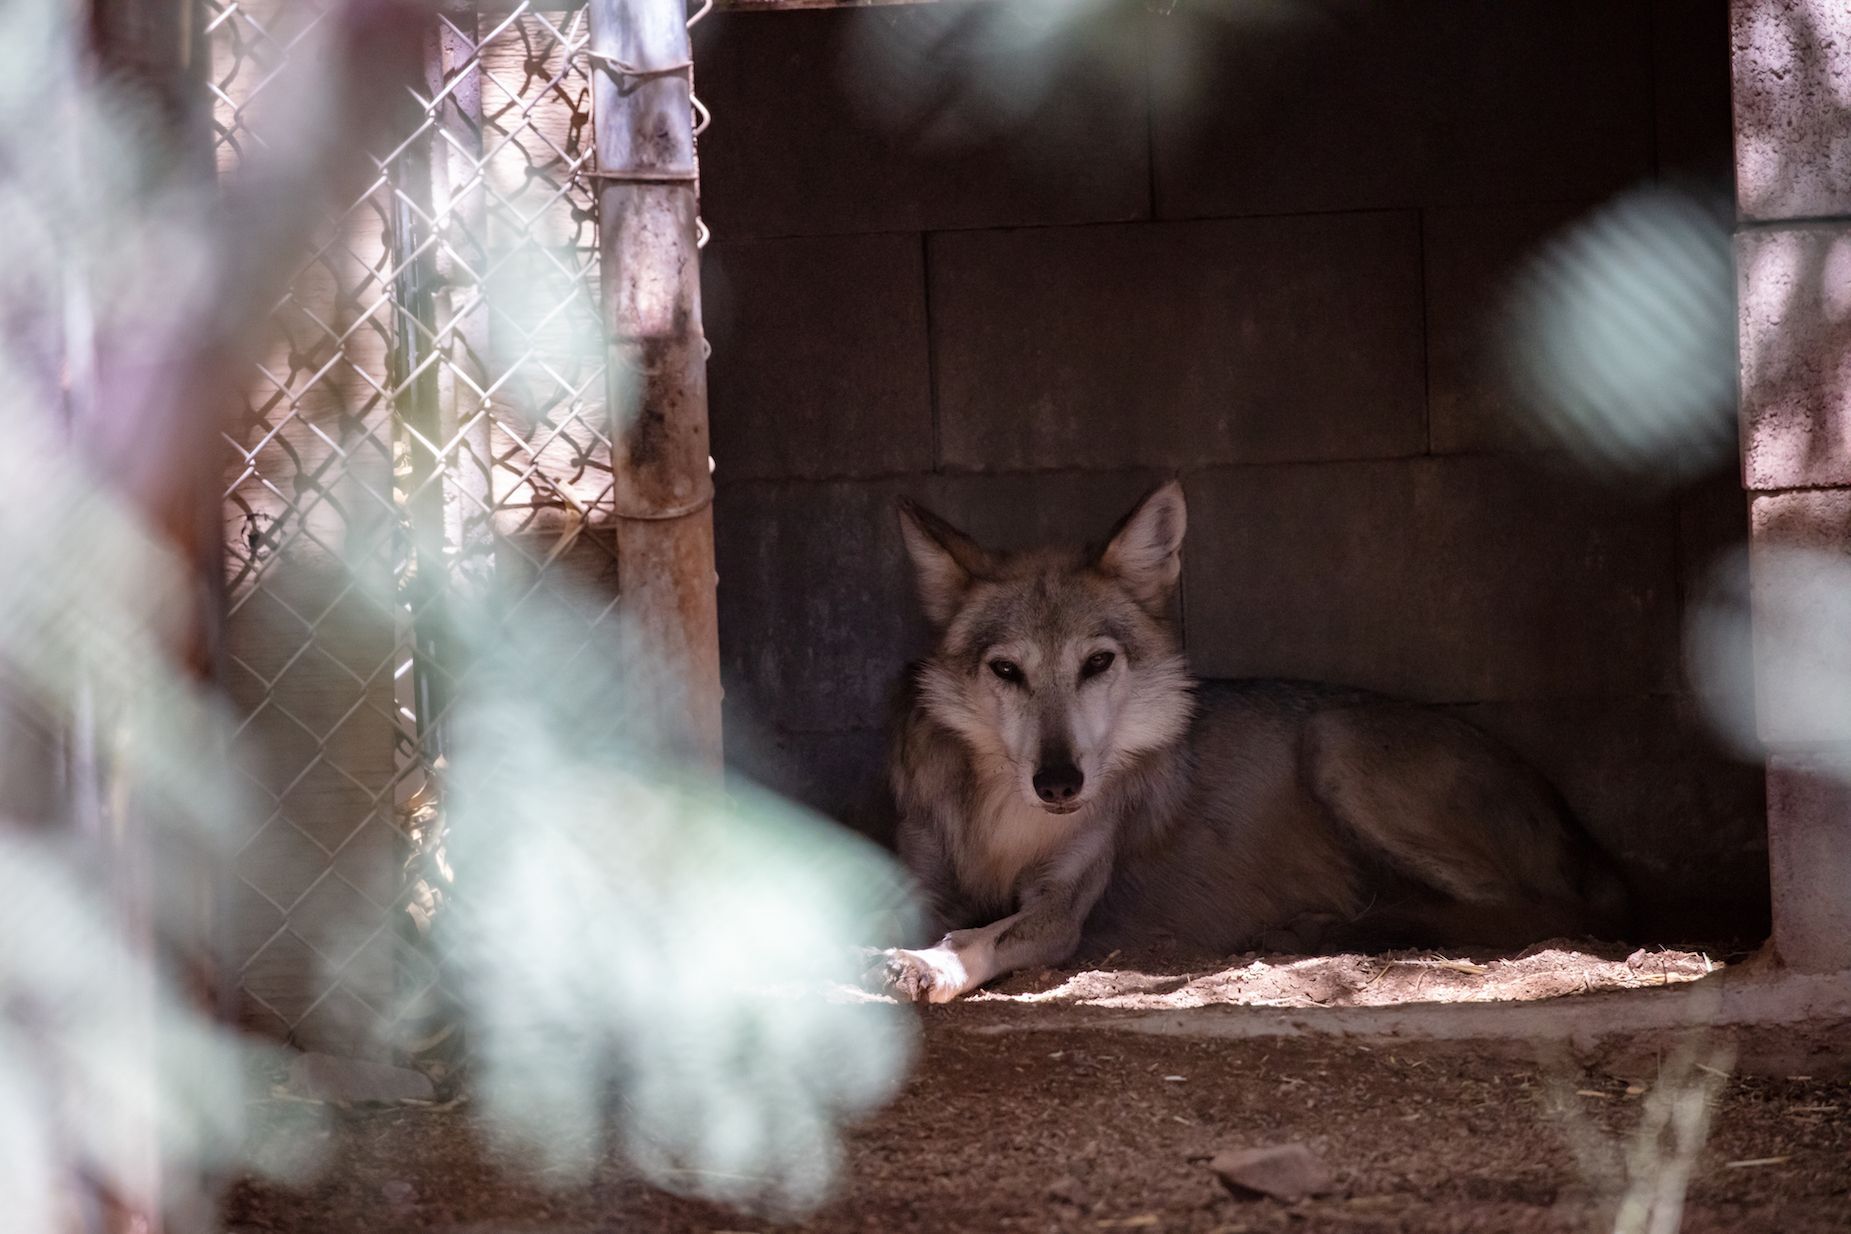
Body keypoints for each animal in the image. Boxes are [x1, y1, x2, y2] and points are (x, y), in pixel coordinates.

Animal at [873, 481, 1628, 1006]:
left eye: (1096, 663)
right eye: (1007, 670)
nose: (1059, 782)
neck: (1006, 825)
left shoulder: (1059, 912)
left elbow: (979, 935)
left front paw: (928, 962)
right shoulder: (922, 871)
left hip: (1334, 746)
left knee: (1527, 913)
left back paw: (1330, 931)